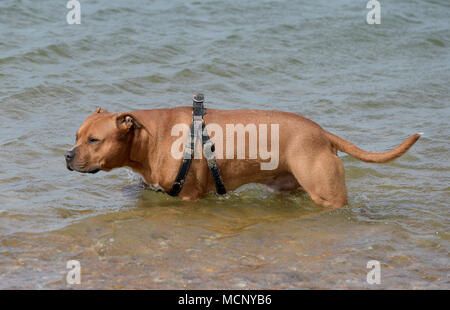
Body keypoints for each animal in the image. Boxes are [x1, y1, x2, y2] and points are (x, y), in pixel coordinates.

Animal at [65, 106, 420, 208]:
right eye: (76, 136)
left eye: (94, 140)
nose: (67, 155)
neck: (151, 137)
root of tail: (322, 133)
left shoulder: (189, 198)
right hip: (286, 186)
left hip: (328, 195)